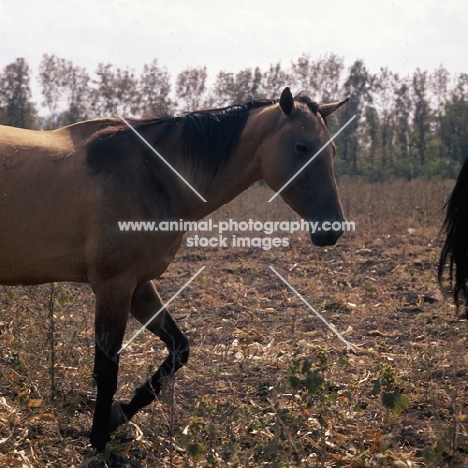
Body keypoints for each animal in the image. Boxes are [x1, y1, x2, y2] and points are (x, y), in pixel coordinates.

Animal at [0, 87, 350, 450]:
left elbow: (179, 350)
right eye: (302, 147)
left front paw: (117, 415)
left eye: (332, 149)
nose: (332, 228)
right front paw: (98, 442)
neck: (152, 174)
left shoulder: (138, 286)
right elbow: (107, 371)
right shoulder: (114, 286)